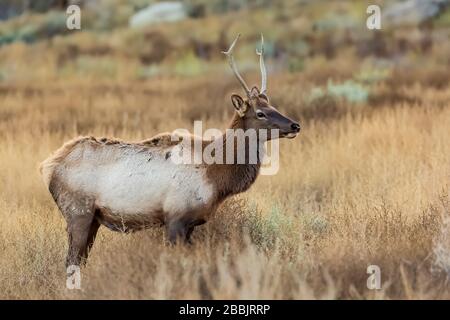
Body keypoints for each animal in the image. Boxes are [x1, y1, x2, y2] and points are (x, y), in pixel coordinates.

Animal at [39, 33, 298, 266]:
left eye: (273, 105)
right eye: (260, 113)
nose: (295, 125)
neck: (216, 178)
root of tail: (48, 166)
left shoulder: (191, 224)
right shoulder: (175, 217)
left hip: (93, 218)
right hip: (78, 212)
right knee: (72, 260)